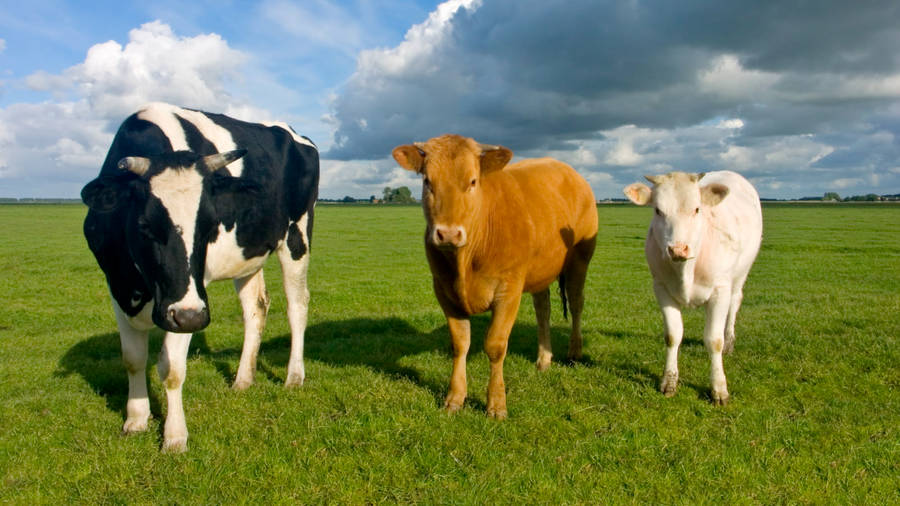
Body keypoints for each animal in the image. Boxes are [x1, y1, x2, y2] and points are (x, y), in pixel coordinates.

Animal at [81, 102, 318, 452]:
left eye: (209, 227)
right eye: (144, 226)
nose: (191, 319)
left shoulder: (190, 300)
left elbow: (171, 368)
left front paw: (175, 436)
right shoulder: (116, 285)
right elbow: (132, 358)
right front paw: (135, 419)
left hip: (296, 235)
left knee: (297, 305)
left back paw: (294, 377)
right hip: (247, 254)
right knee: (256, 307)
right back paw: (243, 380)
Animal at [392, 134, 598, 419]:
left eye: (472, 181)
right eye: (427, 182)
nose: (448, 234)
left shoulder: (508, 290)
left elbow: (495, 345)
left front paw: (496, 404)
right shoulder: (443, 290)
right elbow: (460, 343)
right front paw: (455, 398)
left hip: (580, 259)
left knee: (577, 303)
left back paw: (574, 351)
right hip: (539, 271)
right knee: (543, 311)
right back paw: (544, 359)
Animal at [623, 171, 762, 405]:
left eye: (697, 209)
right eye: (658, 210)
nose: (678, 249)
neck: (685, 271)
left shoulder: (720, 289)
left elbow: (714, 340)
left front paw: (719, 389)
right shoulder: (661, 288)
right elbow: (672, 335)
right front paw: (669, 382)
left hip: (741, 273)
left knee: (734, 304)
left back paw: (730, 341)